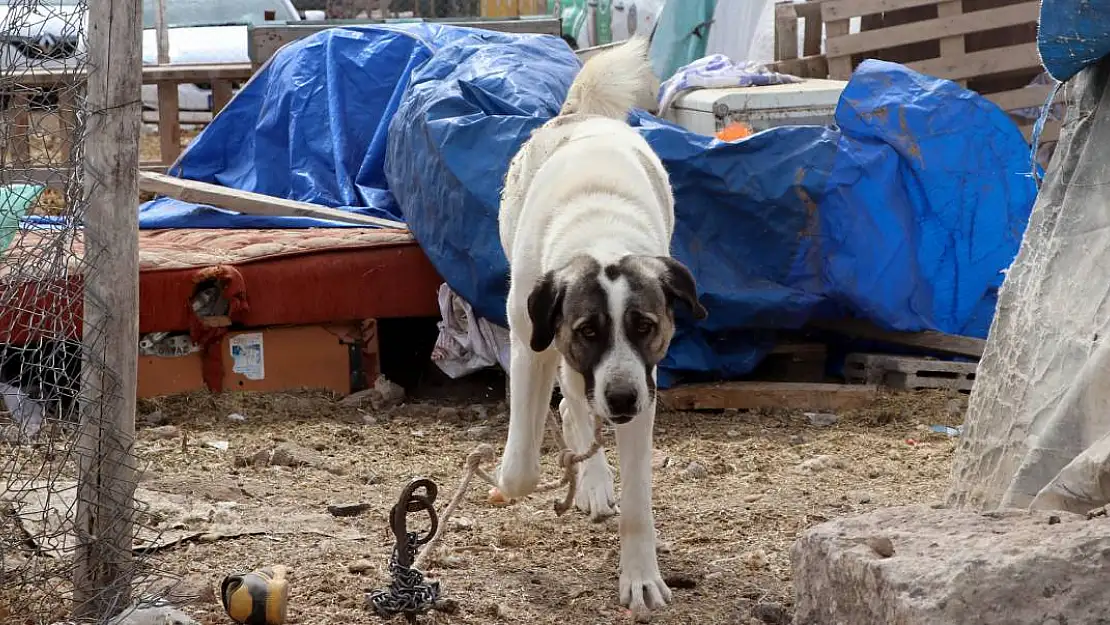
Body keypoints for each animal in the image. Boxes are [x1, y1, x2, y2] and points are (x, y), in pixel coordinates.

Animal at [497, 39, 705, 621]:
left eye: (646, 326)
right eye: (589, 330)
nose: (622, 399)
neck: (599, 233)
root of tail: (580, 113)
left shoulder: (644, 386)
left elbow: (638, 501)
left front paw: (641, 578)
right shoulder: (535, 346)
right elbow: (522, 465)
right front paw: (510, 482)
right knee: (570, 406)